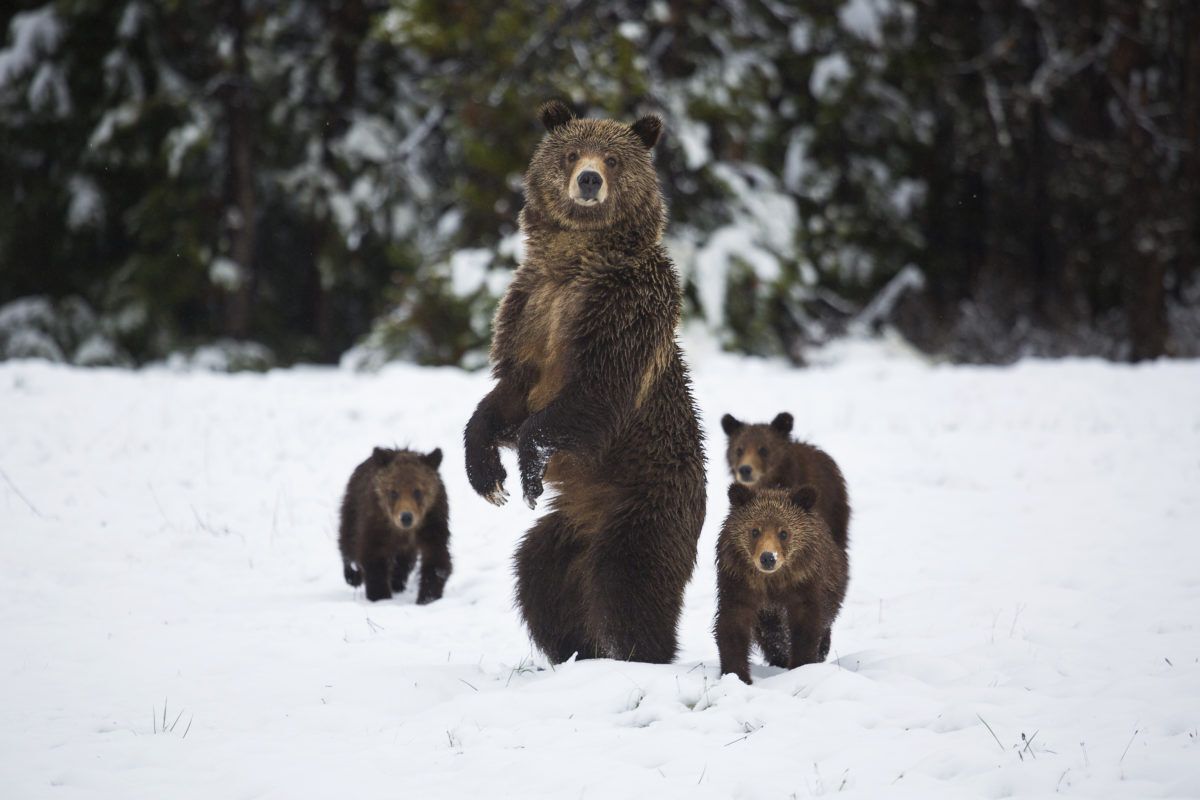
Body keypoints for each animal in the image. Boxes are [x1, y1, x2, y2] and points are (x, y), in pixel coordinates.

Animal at [338, 447, 452, 604]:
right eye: (393, 492)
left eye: (417, 491)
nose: (406, 517)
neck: (403, 532)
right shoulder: (375, 522)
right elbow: (373, 557)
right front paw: (380, 596)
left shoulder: (432, 523)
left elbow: (436, 559)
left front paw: (427, 597)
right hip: (352, 508)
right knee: (348, 542)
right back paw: (352, 574)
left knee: (403, 562)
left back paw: (397, 582)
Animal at [463, 100, 706, 664]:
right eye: (572, 153)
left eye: (613, 159)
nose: (589, 180)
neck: (576, 260)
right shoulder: (530, 308)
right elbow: (507, 392)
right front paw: (488, 475)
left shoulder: (622, 310)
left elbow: (596, 391)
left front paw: (528, 470)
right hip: (568, 525)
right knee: (539, 578)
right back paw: (574, 651)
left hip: (644, 503)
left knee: (628, 582)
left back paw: (639, 653)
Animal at [714, 483, 849, 684]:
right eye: (755, 531)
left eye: (783, 532)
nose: (768, 558)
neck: (773, 581)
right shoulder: (738, 583)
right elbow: (733, 625)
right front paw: (736, 674)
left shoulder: (805, 583)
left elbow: (806, 627)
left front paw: (802, 665)